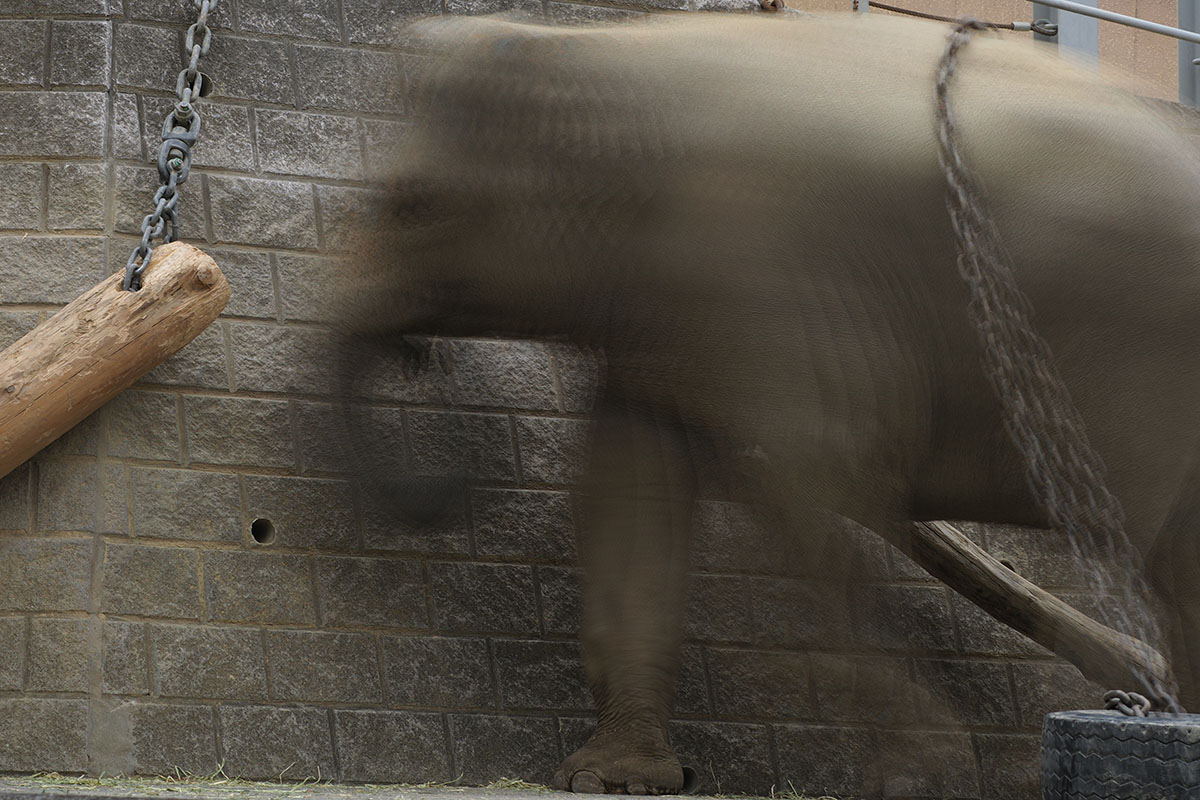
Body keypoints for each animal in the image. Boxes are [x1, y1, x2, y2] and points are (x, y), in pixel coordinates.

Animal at [338, 10, 1200, 795]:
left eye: (411, 204)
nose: (440, 489)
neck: (607, 51)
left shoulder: (756, 278)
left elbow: (798, 473)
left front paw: (922, 776)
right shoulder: (665, 313)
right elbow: (630, 498)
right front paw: (615, 781)